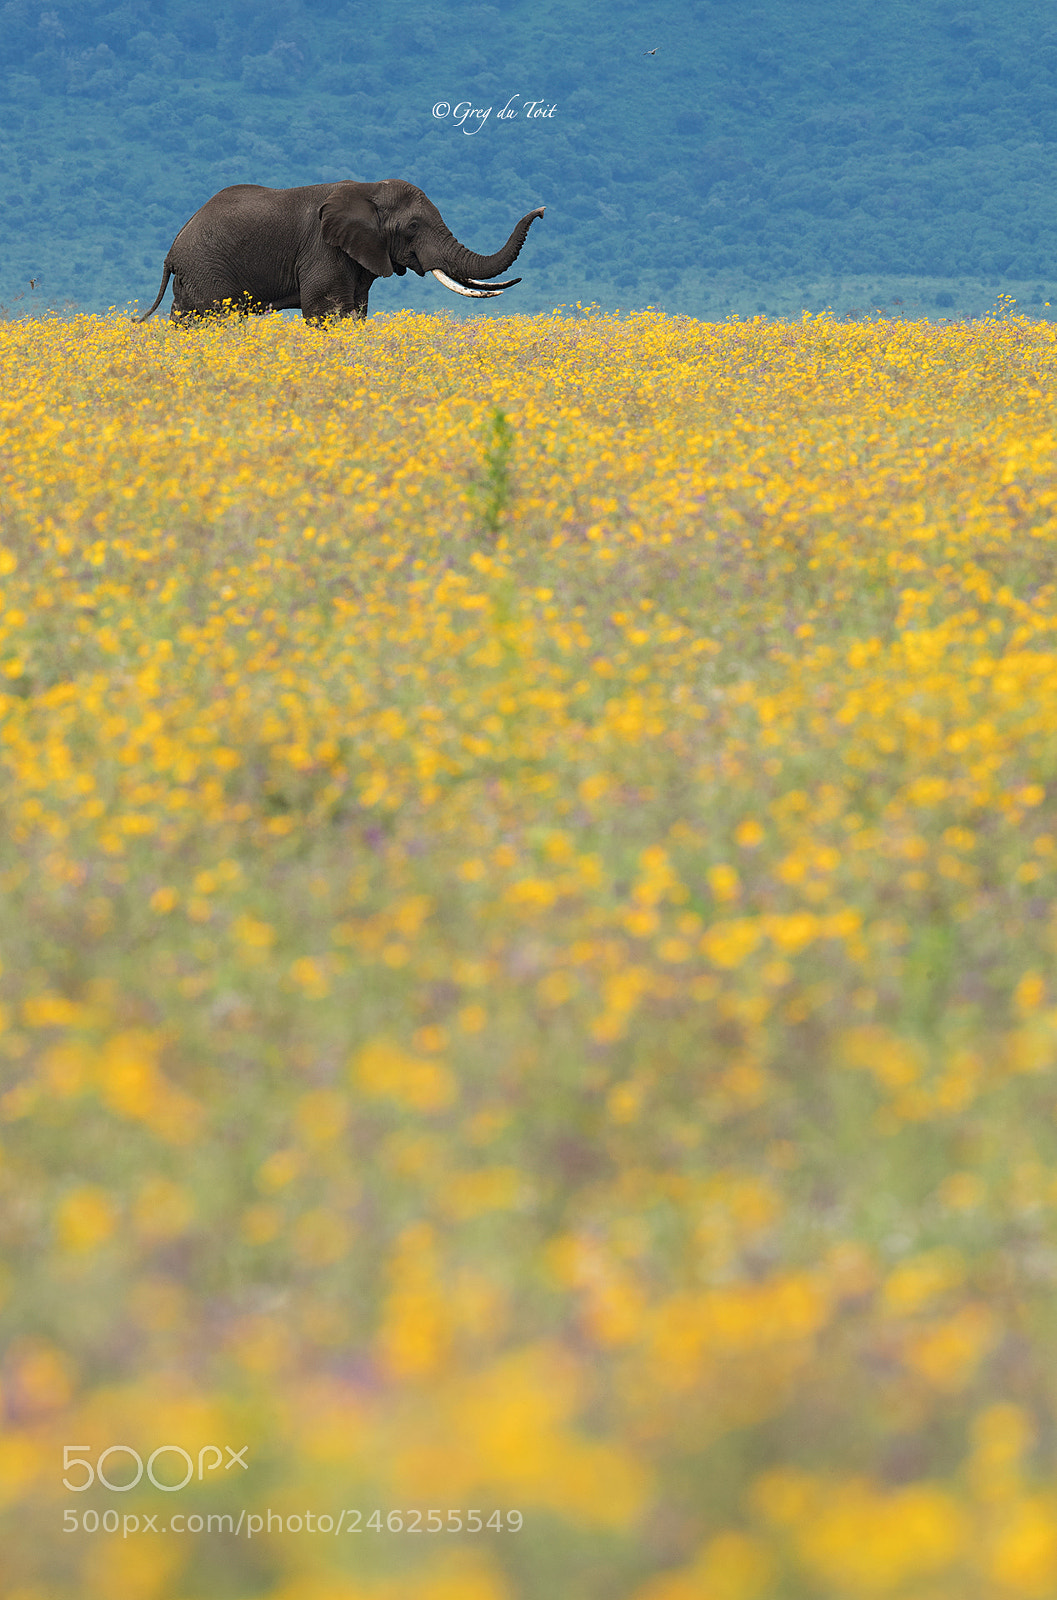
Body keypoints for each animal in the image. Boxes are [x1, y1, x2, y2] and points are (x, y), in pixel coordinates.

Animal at [136, 179, 545, 324]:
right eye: (413, 227)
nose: (541, 211)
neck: (369, 189)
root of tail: (171, 252)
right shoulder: (323, 250)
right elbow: (326, 311)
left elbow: (356, 311)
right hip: (207, 270)